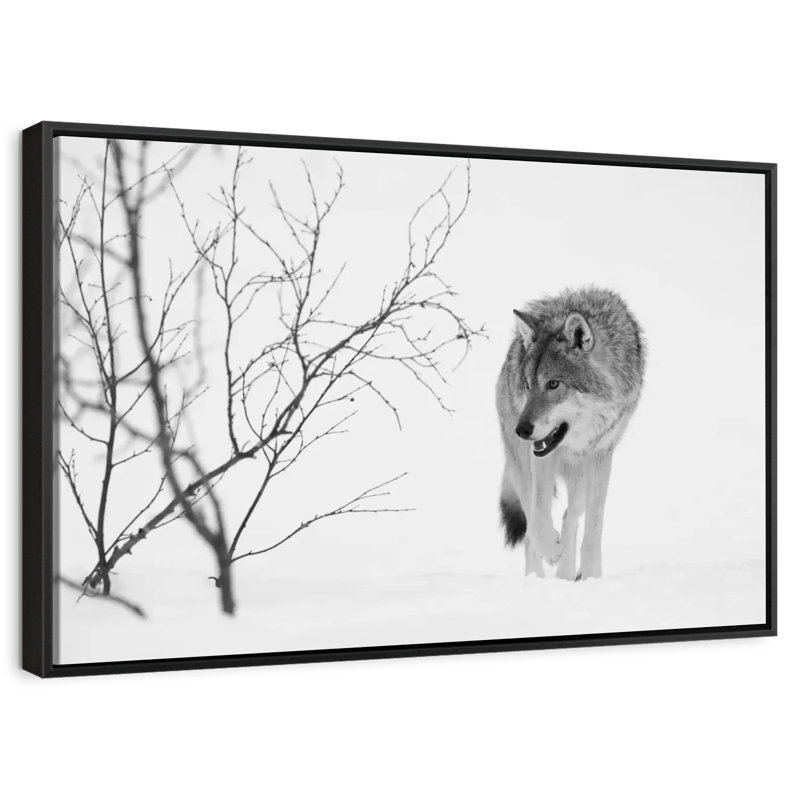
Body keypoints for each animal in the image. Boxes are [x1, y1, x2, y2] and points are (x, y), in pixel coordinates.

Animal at [495, 286, 645, 580]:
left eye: (553, 384)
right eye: (527, 385)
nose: (522, 430)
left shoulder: (601, 454)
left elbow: (593, 528)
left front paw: (590, 576)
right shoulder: (540, 457)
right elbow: (539, 516)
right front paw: (551, 550)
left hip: (583, 476)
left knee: (570, 518)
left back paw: (565, 574)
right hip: (521, 467)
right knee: (530, 532)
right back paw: (538, 576)